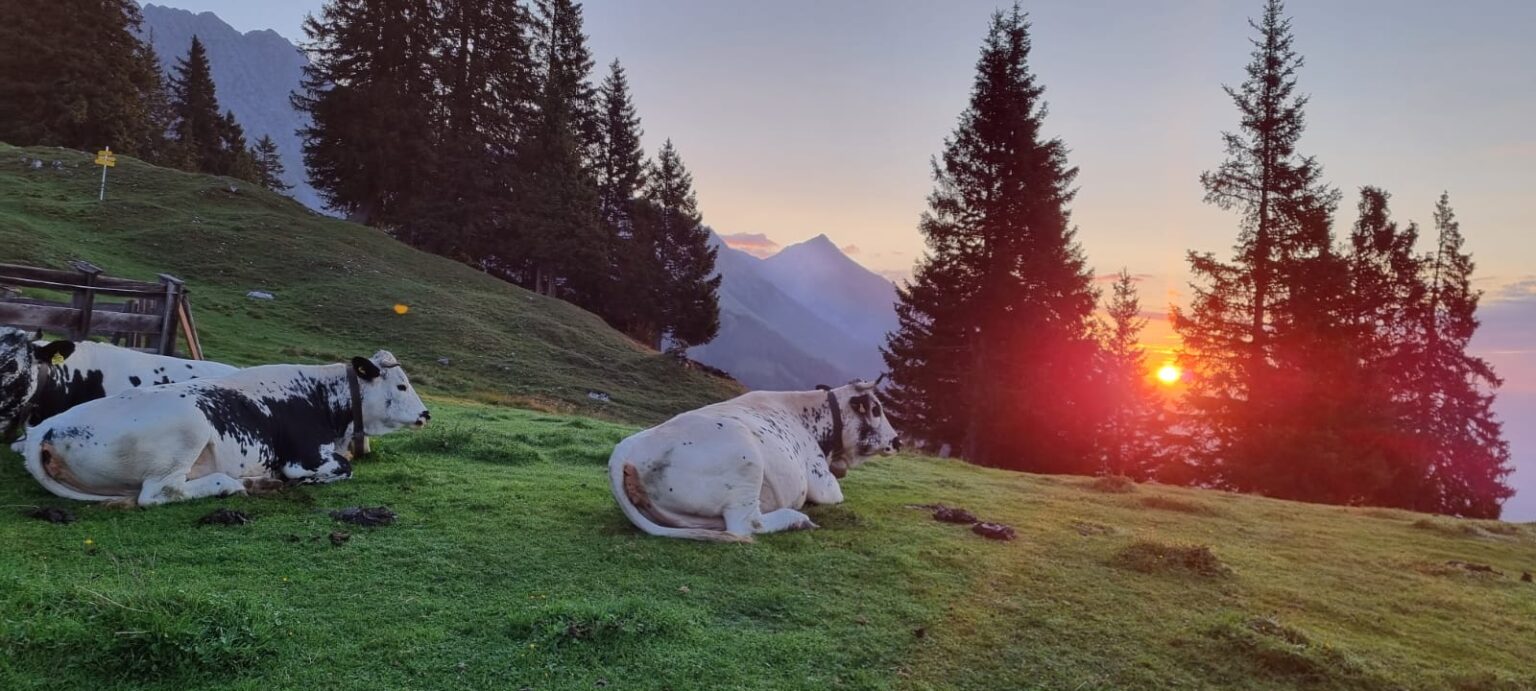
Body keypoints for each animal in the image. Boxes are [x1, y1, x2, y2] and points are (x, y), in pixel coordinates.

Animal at [19, 351, 429, 507]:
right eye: (402, 386)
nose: (426, 414)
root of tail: (47, 428)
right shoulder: (304, 458)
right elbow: (343, 469)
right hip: (190, 427)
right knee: (159, 493)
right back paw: (233, 484)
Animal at [608, 378, 901, 542]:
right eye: (876, 409)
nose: (898, 441)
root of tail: (626, 448)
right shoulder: (822, 481)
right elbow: (835, 495)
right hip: (746, 461)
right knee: (748, 524)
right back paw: (797, 519)